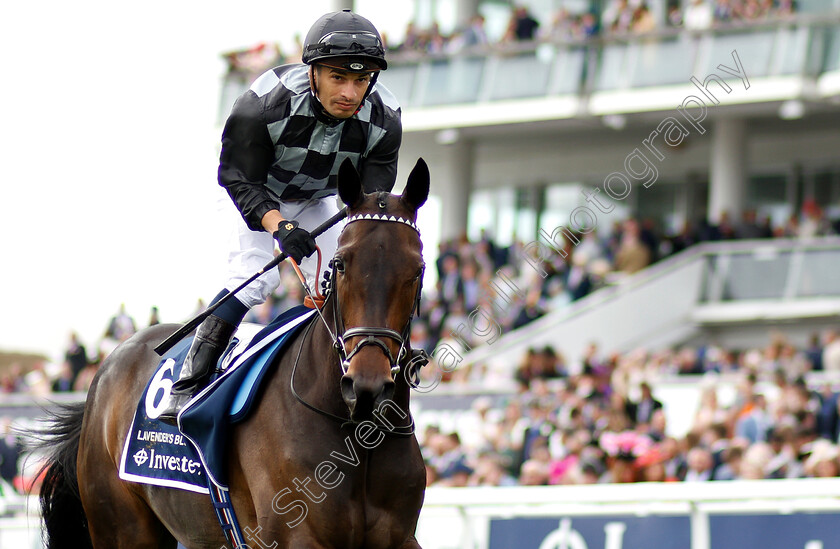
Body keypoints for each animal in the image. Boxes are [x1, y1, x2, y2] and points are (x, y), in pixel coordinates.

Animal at [36, 158, 430, 548]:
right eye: (341, 263)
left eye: (418, 269)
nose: (367, 386)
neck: (354, 432)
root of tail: (108, 368)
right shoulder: (295, 534)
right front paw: (292, 237)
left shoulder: (400, 537)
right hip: (121, 527)